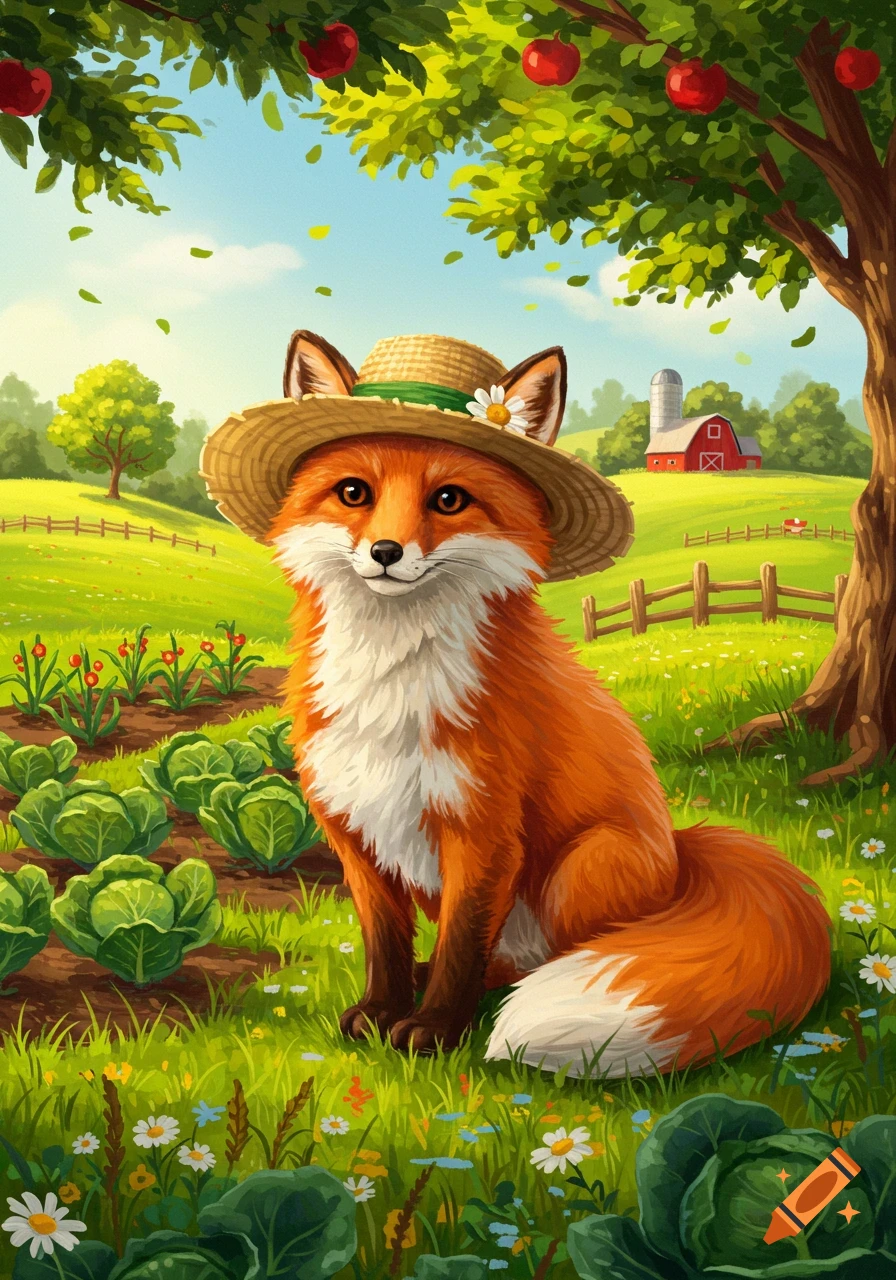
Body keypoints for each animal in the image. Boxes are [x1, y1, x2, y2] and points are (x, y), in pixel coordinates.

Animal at [267, 330, 831, 1077]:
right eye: (353, 493)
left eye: (449, 499)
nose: (385, 551)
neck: (393, 690)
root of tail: (682, 853)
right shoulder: (354, 829)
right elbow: (384, 943)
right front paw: (380, 1011)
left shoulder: (483, 832)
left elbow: (460, 948)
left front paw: (434, 1031)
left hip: (579, 871)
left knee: (540, 963)